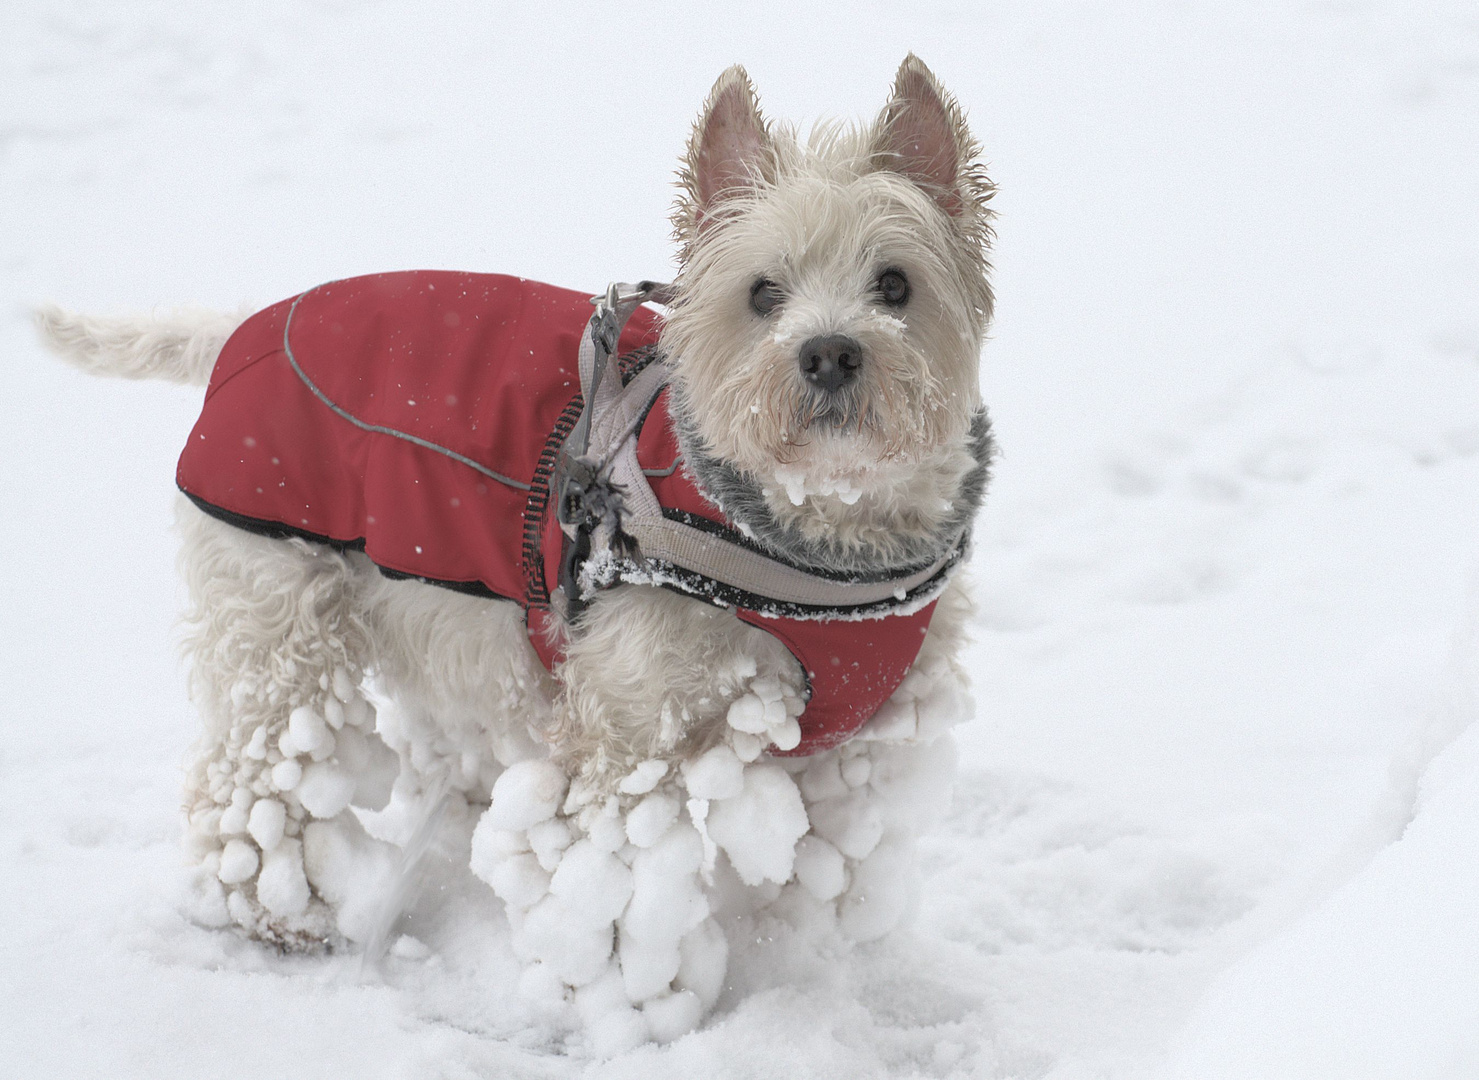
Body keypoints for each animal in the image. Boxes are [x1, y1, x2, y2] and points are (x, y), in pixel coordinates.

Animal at [40, 54, 999, 1047]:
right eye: (763, 293)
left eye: (895, 284)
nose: (828, 354)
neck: (820, 537)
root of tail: (242, 331)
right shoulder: (634, 722)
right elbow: (614, 880)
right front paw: (624, 1011)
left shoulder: (859, 748)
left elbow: (826, 866)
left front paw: (788, 966)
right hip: (279, 609)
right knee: (251, 775)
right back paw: (279, 915)